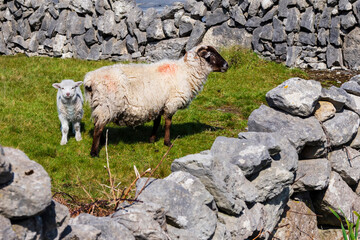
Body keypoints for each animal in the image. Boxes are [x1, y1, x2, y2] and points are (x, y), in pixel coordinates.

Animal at [84, 45, 228, 158]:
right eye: (210, 55)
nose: (227, 65)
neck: (186, 72)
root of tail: (90, 80)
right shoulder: (171, 102)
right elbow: (168, 123)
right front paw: (168, 143)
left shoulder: (158, 104)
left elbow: (157, 122)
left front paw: (152, 139)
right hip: (107, 106)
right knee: (98, 128)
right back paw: (94, 153)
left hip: (99, 106)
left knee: (98, 125)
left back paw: (102, 143)